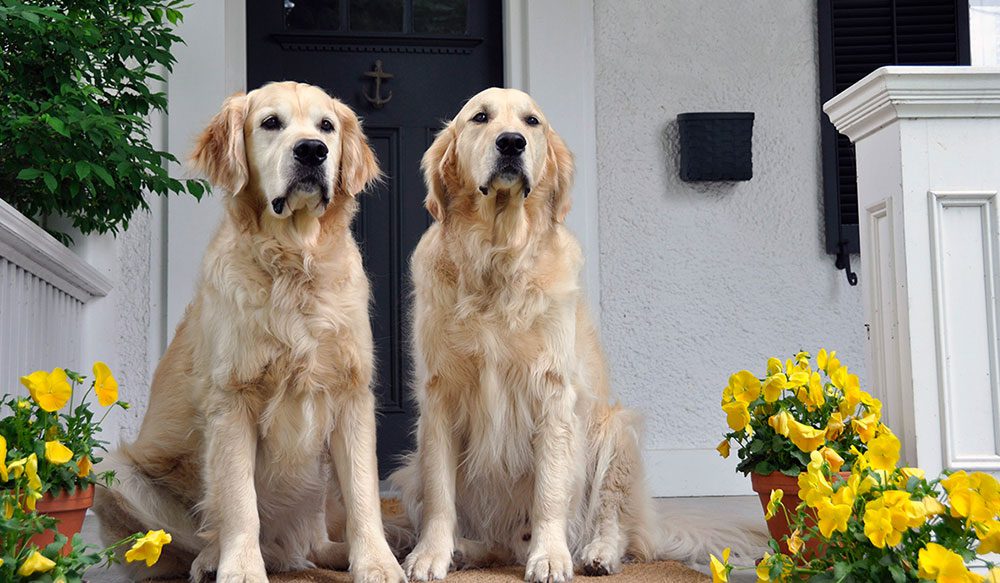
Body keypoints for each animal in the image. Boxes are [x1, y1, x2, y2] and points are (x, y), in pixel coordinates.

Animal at [93, 82, 406, 583]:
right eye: (270, 123)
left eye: (326, 126)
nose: (312, 151)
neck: (295, 263)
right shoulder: (232, 400)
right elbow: (239, 503)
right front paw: (240, 568)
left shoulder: (352, 394)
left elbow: (363, 495)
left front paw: (376, 564)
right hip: (117, 475)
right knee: (197, 537)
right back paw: (213, 560)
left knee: (316, 541)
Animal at [390, 88, 672, 583]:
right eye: (480, 117)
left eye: (532, 121)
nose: (511, 143)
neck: (497, 258)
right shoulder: (439, 397)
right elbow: (441, 493)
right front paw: (430, 555)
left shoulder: (553, 395)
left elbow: (550, 492)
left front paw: (551, 557)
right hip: (409, 472)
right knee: (490, 539)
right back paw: (464, 549)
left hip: (617, 433)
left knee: (612, 518)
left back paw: (596, 553)